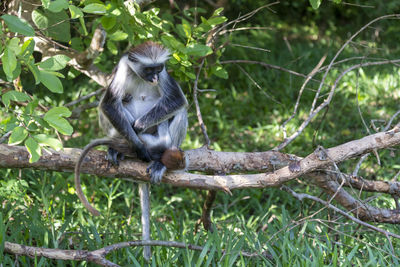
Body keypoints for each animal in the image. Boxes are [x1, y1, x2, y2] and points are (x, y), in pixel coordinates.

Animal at [74, 41, 190, 218]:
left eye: (158, 68)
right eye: (148, 70)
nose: (155, 78)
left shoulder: (164, 74)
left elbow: (177, 100)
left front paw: (138, 127)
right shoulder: (123, 68)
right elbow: (108, 104)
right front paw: (139, 146)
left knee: (180, 111)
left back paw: (161, 161)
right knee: (111, 105)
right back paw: (118, 149)